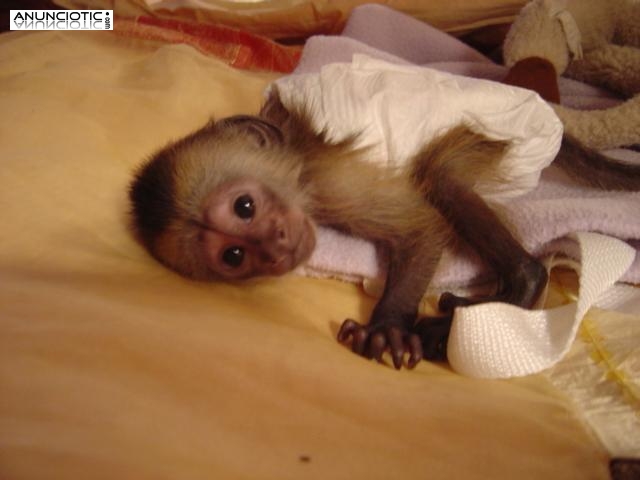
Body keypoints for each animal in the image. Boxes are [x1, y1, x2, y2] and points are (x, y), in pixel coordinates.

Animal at [128, 91, 640, 370]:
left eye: (245, 206)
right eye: (234, 256)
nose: (273, 248)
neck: (294, 151)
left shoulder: (328, 179)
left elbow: (422, 226)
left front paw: (388, 326)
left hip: (505, 139)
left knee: (440, 173)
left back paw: (520, 283)